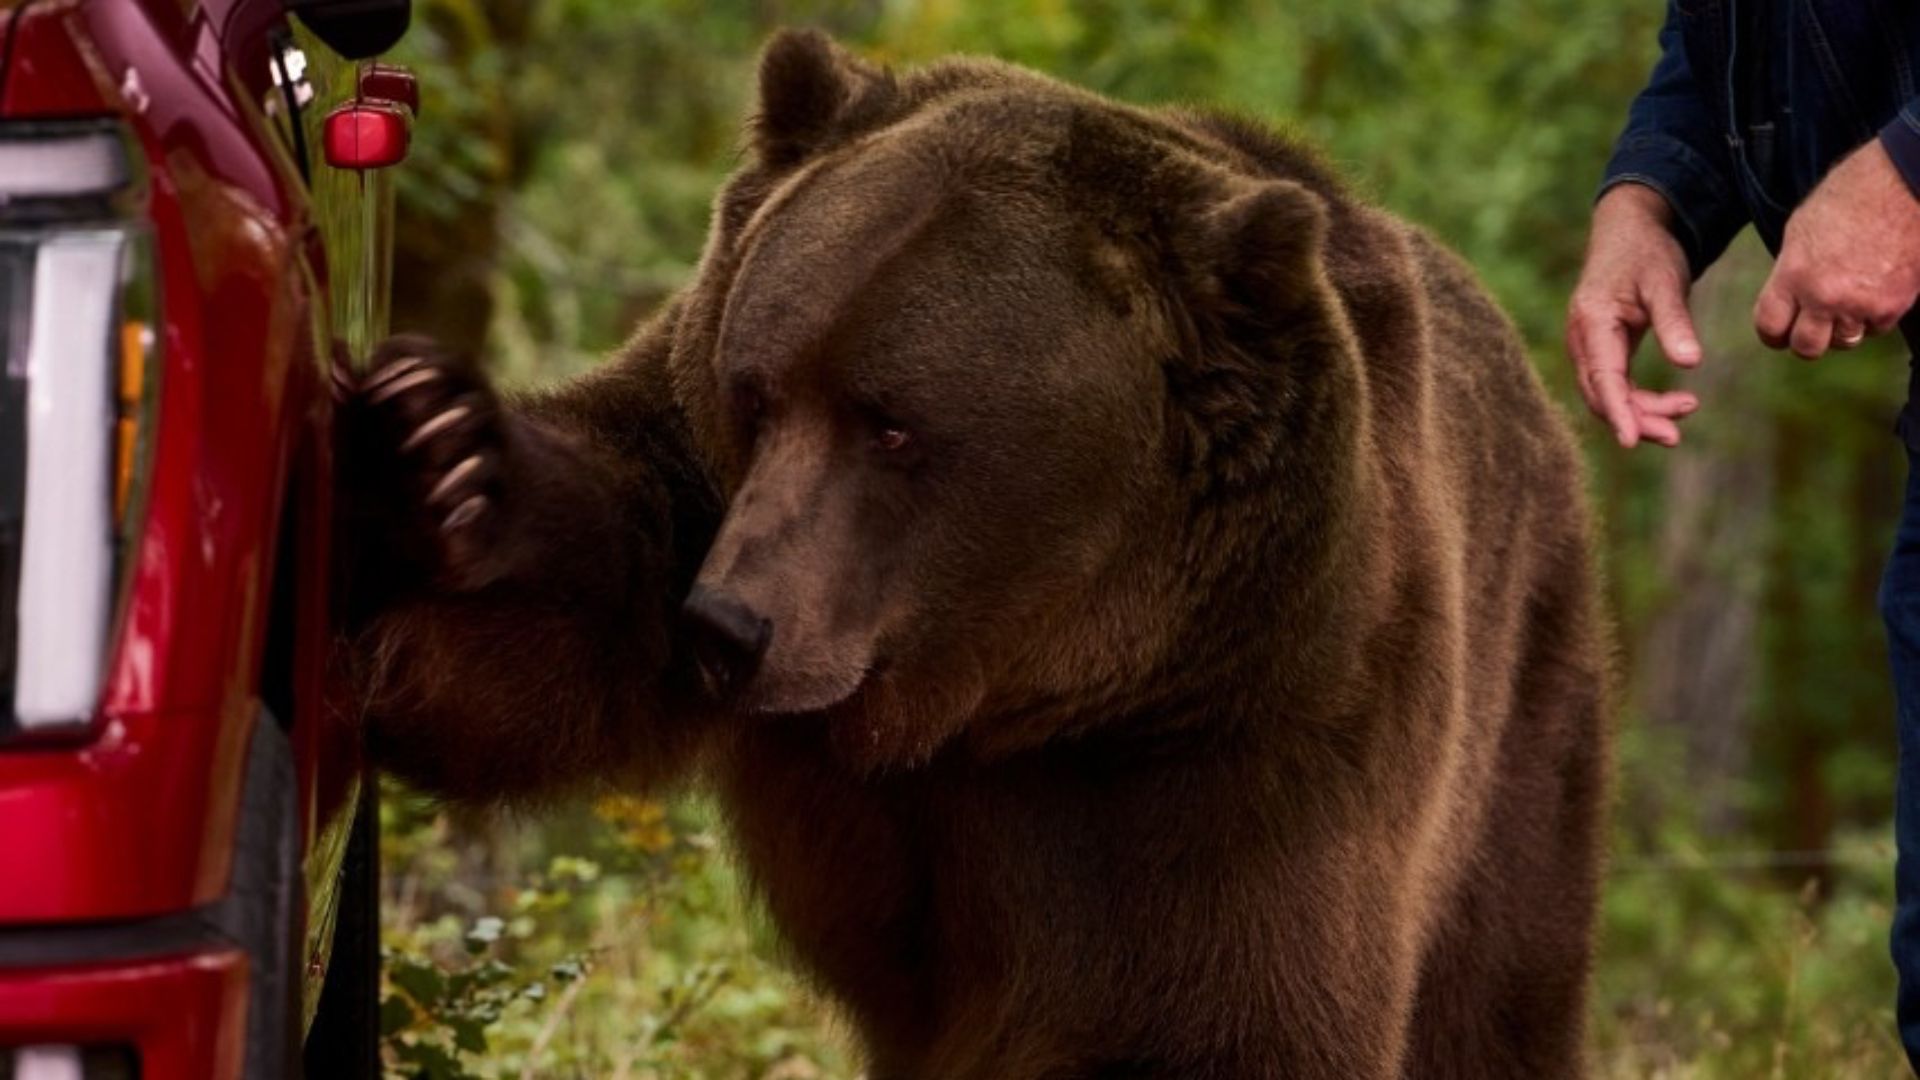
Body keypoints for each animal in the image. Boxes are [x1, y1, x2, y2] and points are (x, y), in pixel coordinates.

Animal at [338, 28, 1610, 1079]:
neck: (1006, 690)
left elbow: (1211, 1018)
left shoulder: (1244, 735)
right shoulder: (707, 491)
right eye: (758, 391)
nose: (724, 628)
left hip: (1520, 735)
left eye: (895, 425)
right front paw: (442, 458)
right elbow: (548, 625)